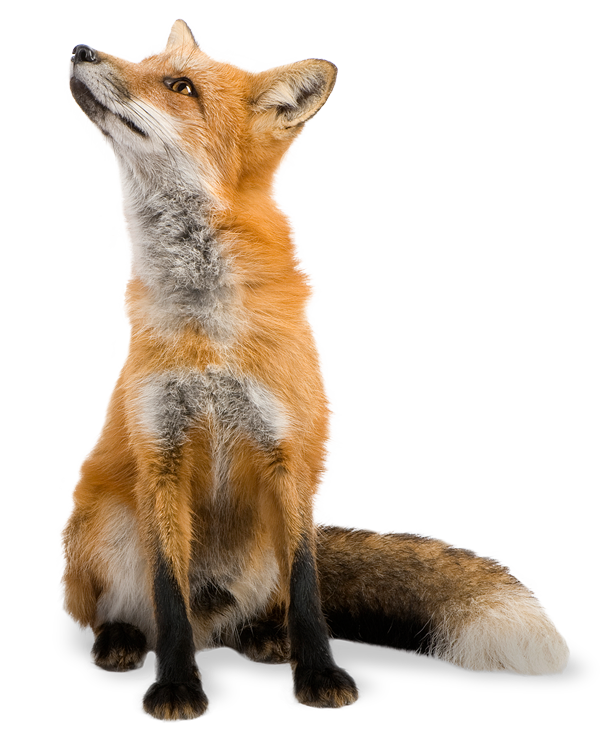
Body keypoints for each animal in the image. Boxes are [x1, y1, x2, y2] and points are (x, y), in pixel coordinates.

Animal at [59, 19, 571, 723]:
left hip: (259, 550)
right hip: (105, 523)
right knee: (138, 613)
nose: (79, 48)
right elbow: (167, 591)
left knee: (263, 608)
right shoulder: (160, 452)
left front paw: (320, 675)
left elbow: (307, 587)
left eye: (179, 85)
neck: (208, 324)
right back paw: (121, 641)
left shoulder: (288, 452)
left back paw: (266, 638)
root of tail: (216, 620)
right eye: (145, 62)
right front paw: (176, 689)